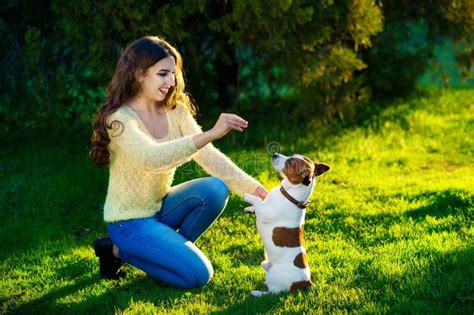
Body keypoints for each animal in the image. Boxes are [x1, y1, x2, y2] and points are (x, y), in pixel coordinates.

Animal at [244, 154, 330, 298]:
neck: (290, 195)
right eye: (291, 156)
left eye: (290, 162)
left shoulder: (265, 211)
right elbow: (258, 203)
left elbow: (258, 201)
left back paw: (257, 293)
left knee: (273, 292)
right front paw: (250, 209)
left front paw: (247, 196)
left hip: (274, 279)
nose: (274, 154)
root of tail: (306, 282)